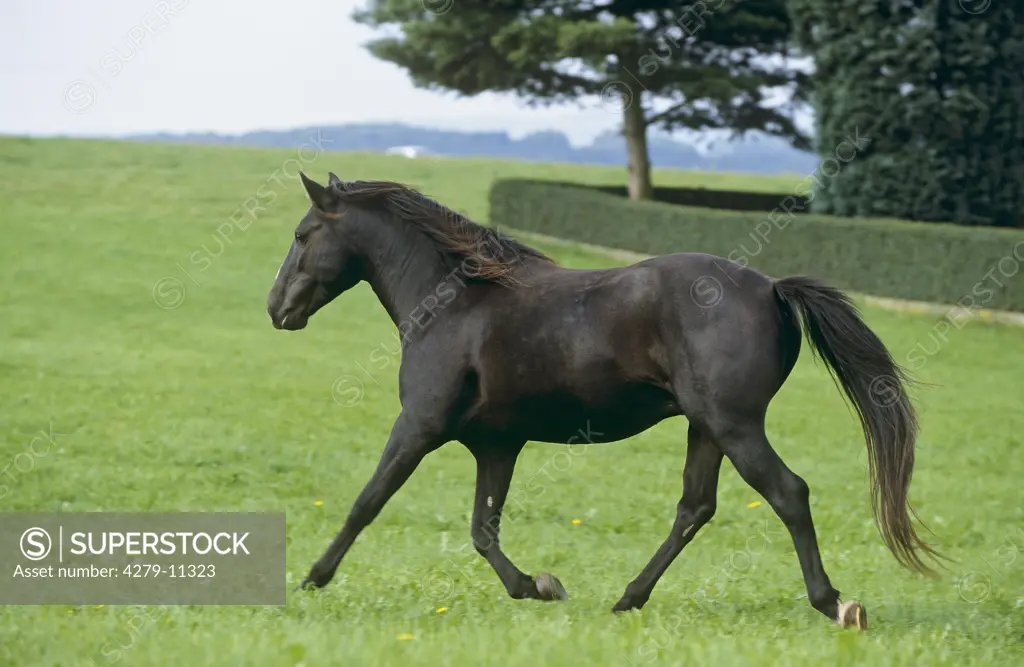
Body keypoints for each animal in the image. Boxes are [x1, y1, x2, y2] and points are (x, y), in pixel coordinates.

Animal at [268, 173, 937, 631]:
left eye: (303, 235)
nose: (277, 309)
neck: (455, 302)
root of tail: (772, 287)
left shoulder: (418, 426)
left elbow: (367, 502)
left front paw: (312, 578)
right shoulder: (496, 444)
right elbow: (483, 530)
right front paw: (540, 585)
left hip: (735, 426)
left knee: (787, 493)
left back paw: (837, 604)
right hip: (707, 428)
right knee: (694, 508)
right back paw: (627, 599)